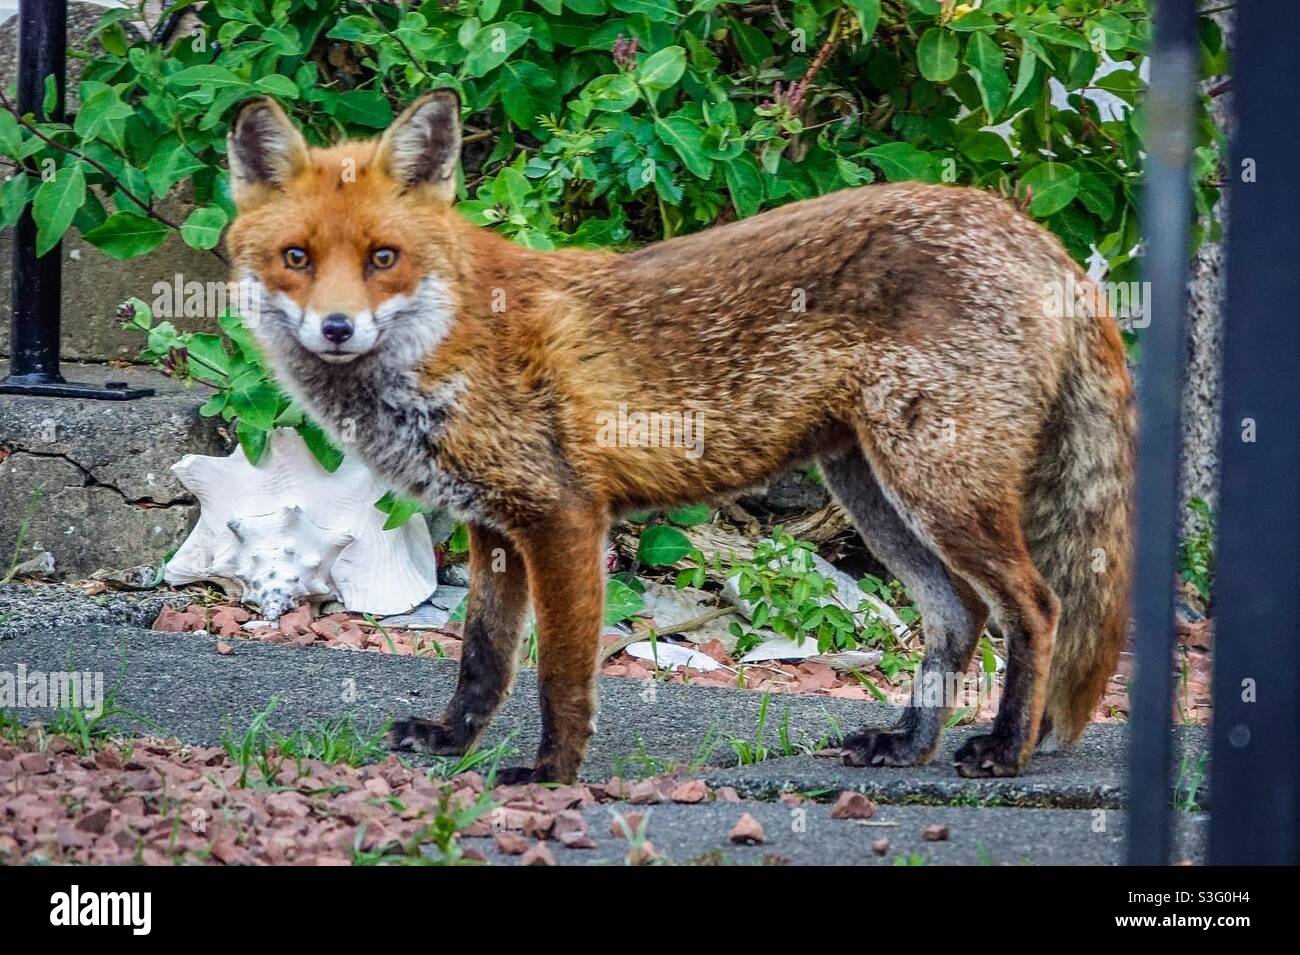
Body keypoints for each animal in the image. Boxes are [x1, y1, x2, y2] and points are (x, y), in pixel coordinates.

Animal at [225, 91, 1134, 785]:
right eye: (296, 257)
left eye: (384, 257)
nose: (337, 328)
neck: (447, 344)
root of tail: (1028, 230)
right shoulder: (494, 525)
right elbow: (482, 657)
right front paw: (452, 741)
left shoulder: (565, 518)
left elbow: (560, 674)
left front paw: (551, 773)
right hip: (875, 492)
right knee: (959, 615)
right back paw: (908, 743)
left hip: (937, 486)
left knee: (1037, 606)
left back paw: (1006, 748)